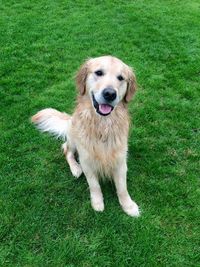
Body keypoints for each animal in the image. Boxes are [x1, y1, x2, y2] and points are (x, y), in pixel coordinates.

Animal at [32, 56, 140, 218]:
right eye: (99, 72)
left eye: (121, 78)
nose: (110, 94)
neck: (102, 126)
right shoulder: (86, 159)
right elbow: (94, 185)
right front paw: (97, 202)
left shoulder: (120, 160)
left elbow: (122, 187)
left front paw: (128, 205)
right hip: (73, 136)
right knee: (66, 150)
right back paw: (75, 169)